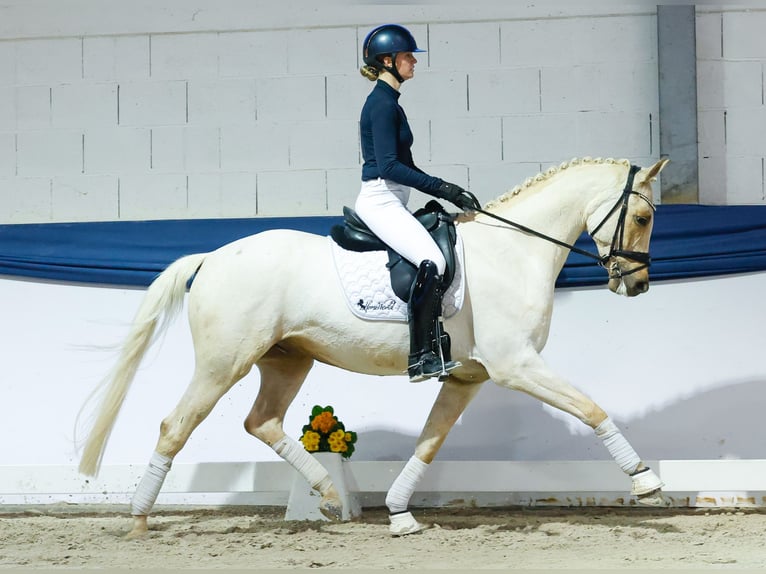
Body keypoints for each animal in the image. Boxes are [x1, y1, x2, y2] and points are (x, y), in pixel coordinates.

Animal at [78, 156, 670, 538]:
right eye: (642, 217)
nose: (638, 285)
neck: (513, 250)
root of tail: (212, 257)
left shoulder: (468, 376)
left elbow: (429, 443)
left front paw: (400, 515)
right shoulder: (515, 365)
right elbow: (591, 408)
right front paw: (647, 482)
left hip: (288, 360)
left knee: (261, 421)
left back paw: (330, 495)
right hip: (224, 364)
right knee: (175, 426)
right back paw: (138, 521)